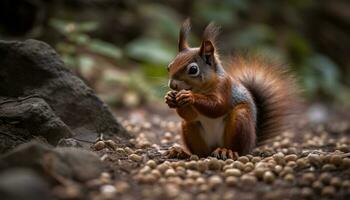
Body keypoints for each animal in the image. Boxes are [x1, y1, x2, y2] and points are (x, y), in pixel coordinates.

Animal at [164, 19, 298, 159]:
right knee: (200, 152)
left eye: (193, 69)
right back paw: (181, 152)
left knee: (238, 149)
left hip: (241, 121)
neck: (200, 89)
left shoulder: (224, 87)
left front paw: (190, 97)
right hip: (189, 128)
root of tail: (252, 143)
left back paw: (227, 151)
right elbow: (190, 115)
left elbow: (217, 107)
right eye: (169, 66)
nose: (172, 85)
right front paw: (170, 97)